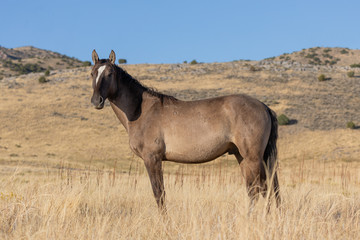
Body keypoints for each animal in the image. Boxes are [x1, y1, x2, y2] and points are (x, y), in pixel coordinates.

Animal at [90, 49, 282, 211]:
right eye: (92, 73)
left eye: (110, 74)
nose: (96, 101)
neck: (141, 110)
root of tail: (264, 107)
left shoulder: (152, 159)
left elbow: (159, 194)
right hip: (243, 157)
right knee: (262, 190)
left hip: (253, 158)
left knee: (260, 190)